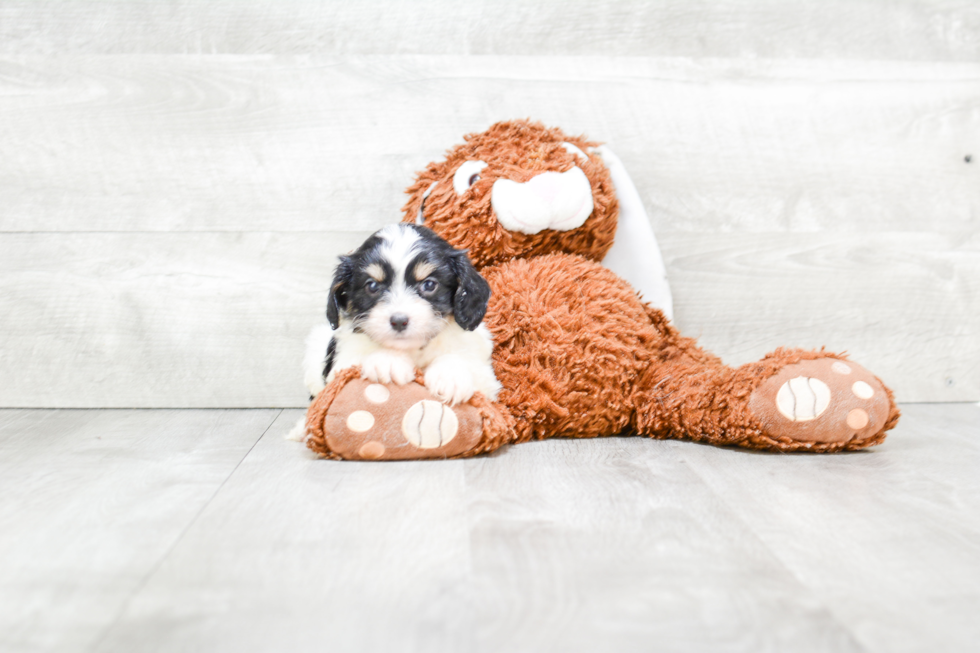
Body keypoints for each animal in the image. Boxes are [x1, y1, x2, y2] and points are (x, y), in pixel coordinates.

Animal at [300, 222, 498, 410]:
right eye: (372, 286)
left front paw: (450, 376)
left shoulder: (486, 377)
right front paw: (388, 359)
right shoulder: (342, 364)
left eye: (429, 285)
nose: (399, 321)